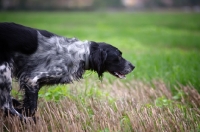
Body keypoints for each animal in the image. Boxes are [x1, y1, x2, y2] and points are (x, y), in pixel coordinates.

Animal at [0, 22, 134, 119]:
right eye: (118, 56)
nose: (133, 66)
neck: (82, 54)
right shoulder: (32, 79)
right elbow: (32, 107)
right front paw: (26, 114)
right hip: (4, 72)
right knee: (6, 105)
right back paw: (28, 120)